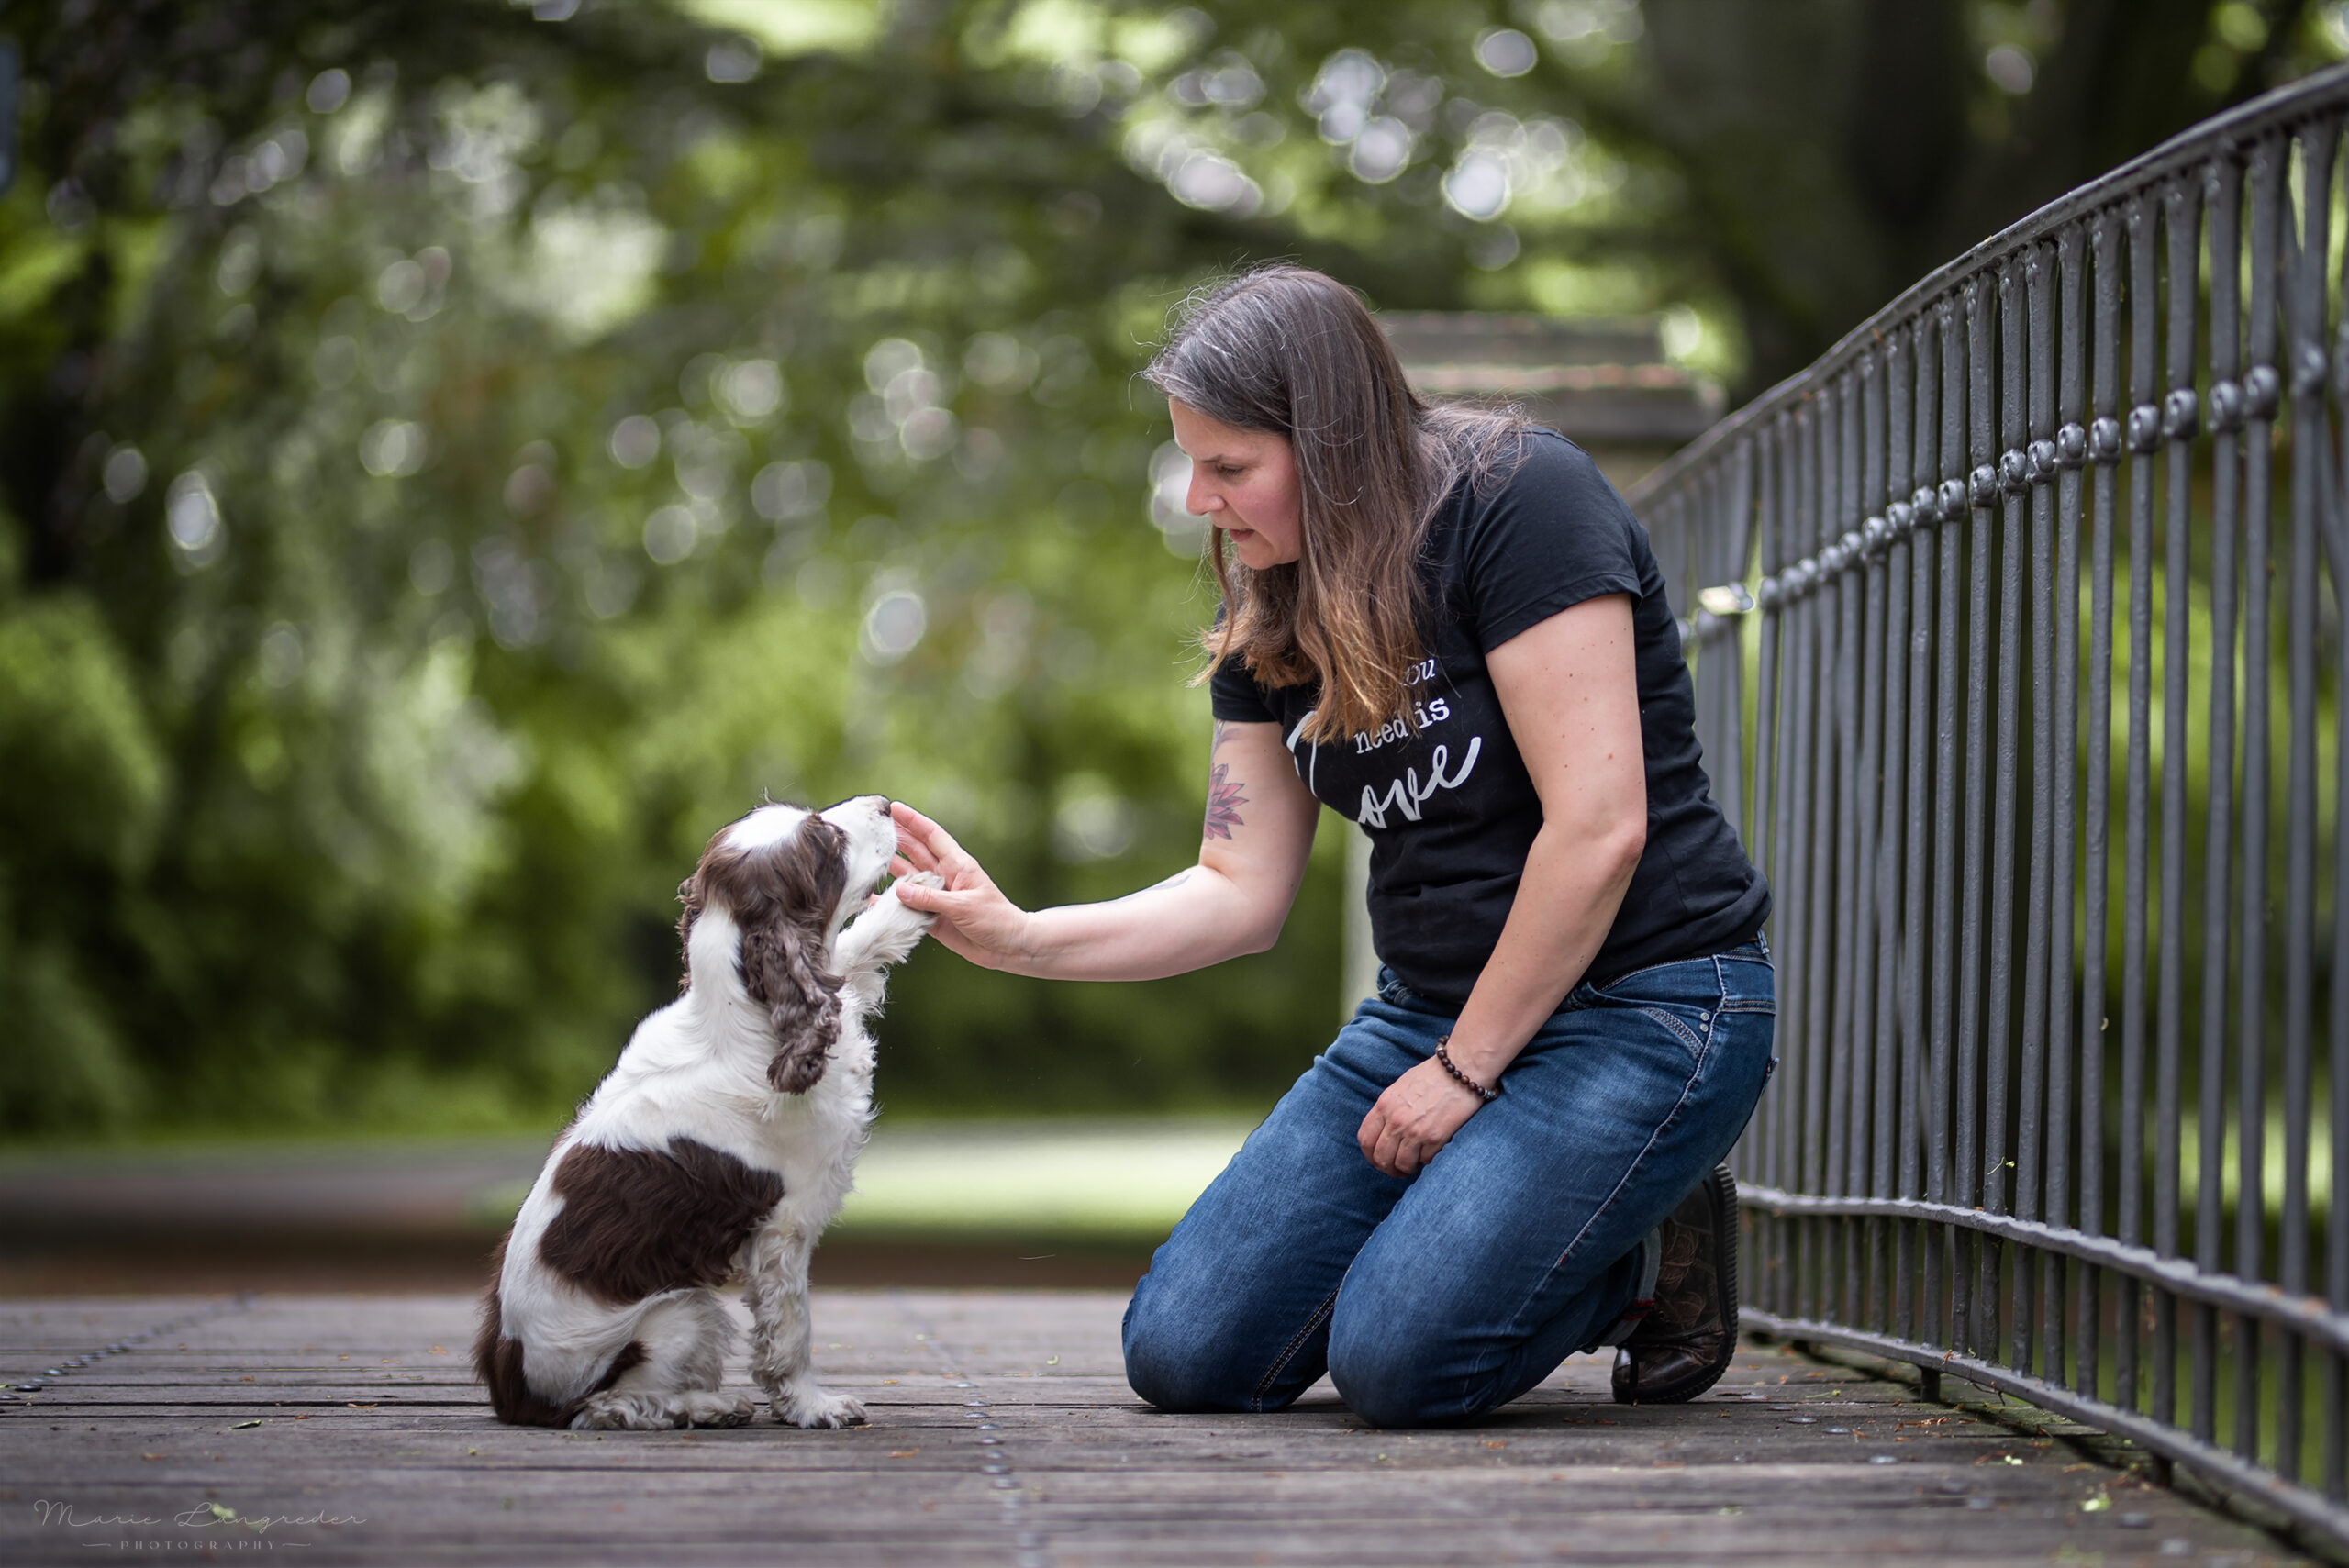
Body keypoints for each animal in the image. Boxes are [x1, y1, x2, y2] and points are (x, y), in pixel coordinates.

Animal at [474, 797, 934, 1436]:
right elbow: (791, 1331)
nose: (885, 804)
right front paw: (812, 1406)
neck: (737, 1022)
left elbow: (848, 955)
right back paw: (712, 1406)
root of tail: (509, 1390)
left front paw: (930, 887)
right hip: (677, 1313)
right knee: (606, 1407)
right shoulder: (784, 1227)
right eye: (825, 839)